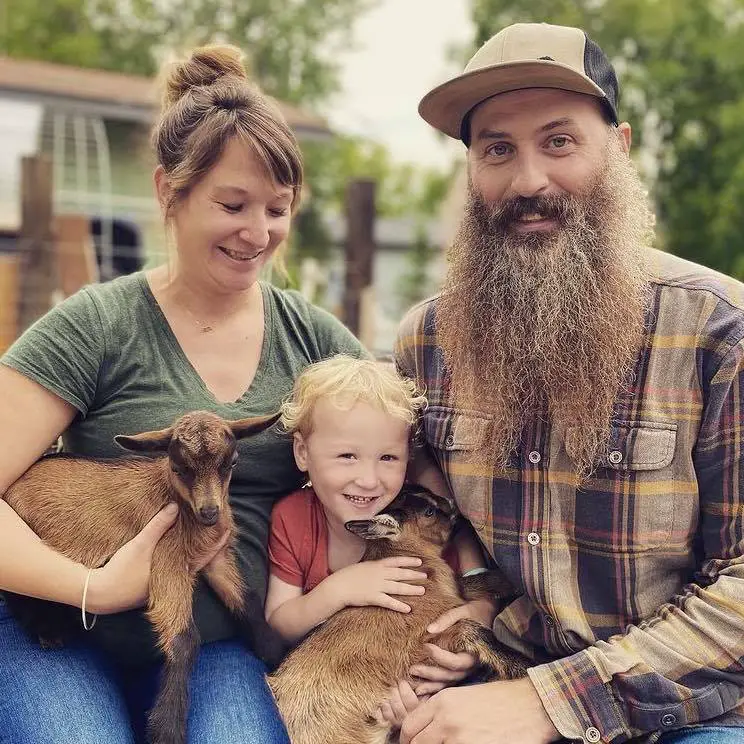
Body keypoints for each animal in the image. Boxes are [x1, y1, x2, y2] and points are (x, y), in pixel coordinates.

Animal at [2, 410, 284, 744]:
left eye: (231, 463)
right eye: (178, 468)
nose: (210, 513)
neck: (179, 503)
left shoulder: (215, 558)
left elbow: (246, 601)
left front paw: (274, 652)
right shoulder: (166, 560)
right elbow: (184, 639)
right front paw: (167, 728)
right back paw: (48, 632)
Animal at [268, 482, 528, 744]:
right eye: (429, 512)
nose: (452, 503)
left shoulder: (454, 592)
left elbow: (478, 581)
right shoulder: (424, 642)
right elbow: (474, 629)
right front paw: (522, 667)